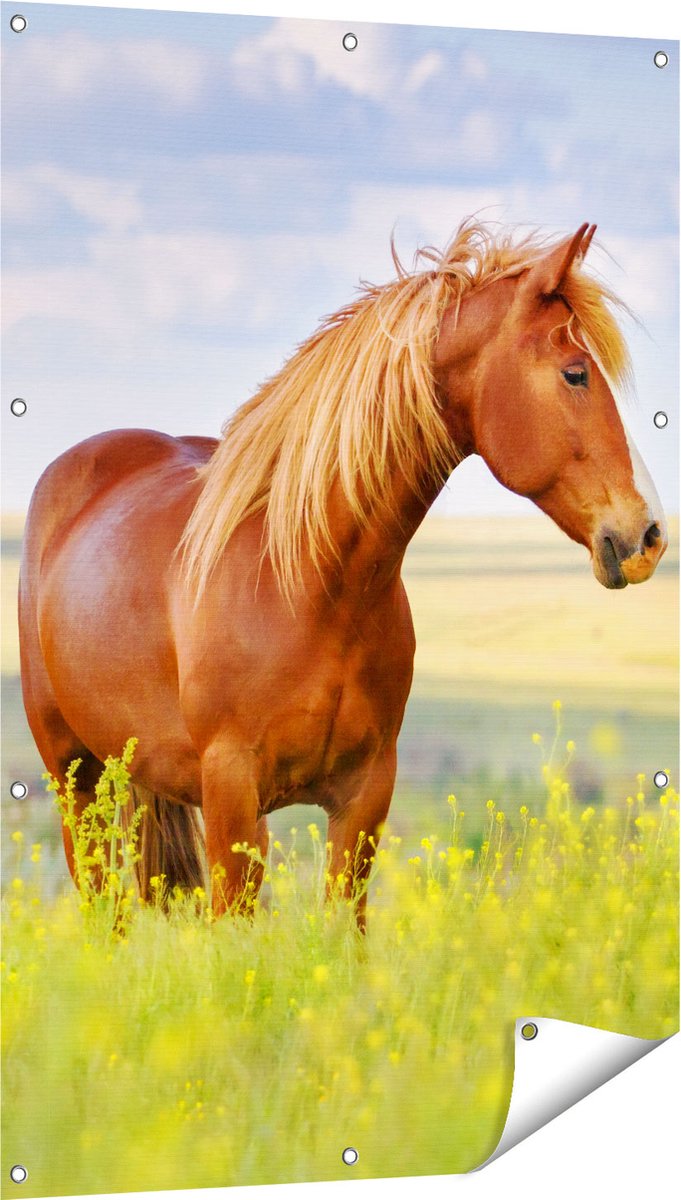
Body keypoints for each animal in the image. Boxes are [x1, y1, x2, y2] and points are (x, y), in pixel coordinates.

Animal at [18, 220, 667, 927]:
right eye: (576, 374)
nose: (649, 535)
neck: (309, 584)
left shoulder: (364, 797)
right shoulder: (231, 796)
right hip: (76, 781)